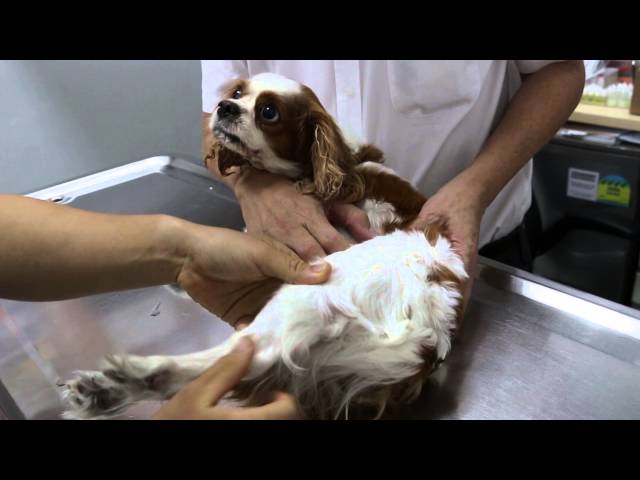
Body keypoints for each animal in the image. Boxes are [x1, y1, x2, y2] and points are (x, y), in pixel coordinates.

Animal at [62, 72, 468, 420]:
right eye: (238, 92)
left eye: (268, 112)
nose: (224, 106)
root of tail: (431, 336)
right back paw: (106, 392)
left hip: (309, 290)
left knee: (245, 354)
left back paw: (128, 377)